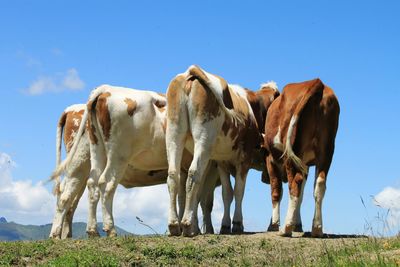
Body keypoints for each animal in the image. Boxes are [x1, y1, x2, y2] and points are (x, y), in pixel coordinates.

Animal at [51, 87, 220, 240]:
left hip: (88, 158)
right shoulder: (210, 166)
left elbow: (183, 195)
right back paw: (109, 229)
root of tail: (105, 90)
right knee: (103, 184)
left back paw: (76, 232)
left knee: (75, 192)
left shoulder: (186, 167)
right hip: (115, 155)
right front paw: (197, 228)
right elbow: (202, 199)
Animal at [166, 66, 278, 238]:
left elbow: (227, 193)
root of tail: (191, 70)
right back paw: (187, 224)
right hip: (204, 138)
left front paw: (226, 225)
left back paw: (174, 225)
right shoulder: (243, 159)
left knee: (173, 175)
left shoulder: (222, 162)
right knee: (193, 174)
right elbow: (238, 191)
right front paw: (237, 224)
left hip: (174, 133)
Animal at [264, 78, 340, 238]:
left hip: (292, 151)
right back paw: (317, 229)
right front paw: (297, 224)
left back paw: (285, 228)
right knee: (319, 184)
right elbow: (302, 194)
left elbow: (276, 190)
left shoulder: (270, 159)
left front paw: (274, 224)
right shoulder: (305, 164)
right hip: (327, 150)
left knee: (294, 183)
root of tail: (316, 82)